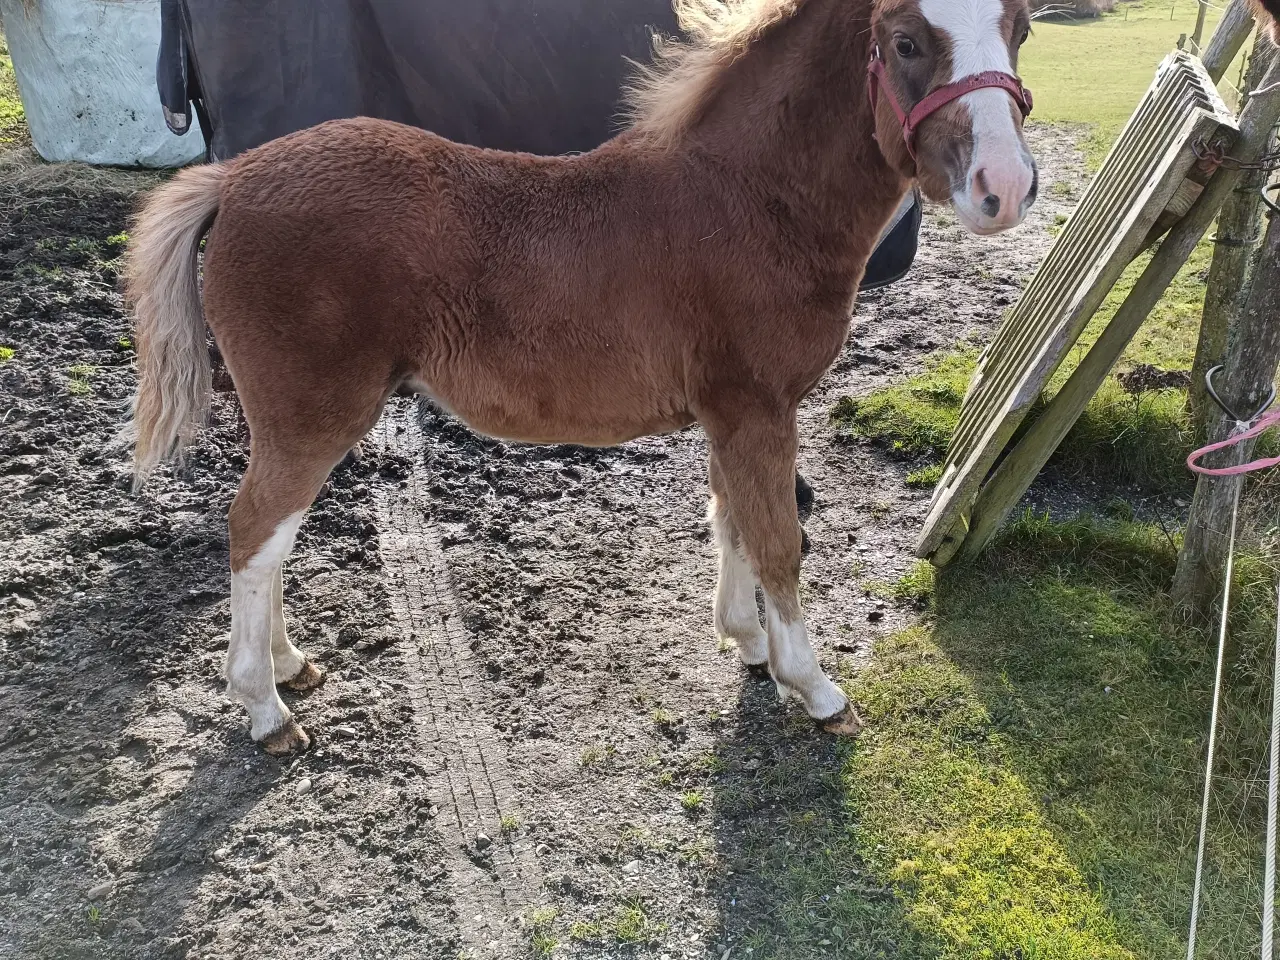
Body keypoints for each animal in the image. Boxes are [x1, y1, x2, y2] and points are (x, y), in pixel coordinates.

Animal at [122, 0, 1039, 757]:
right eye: (907, 41)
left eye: (1021, 26)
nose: (1006, 187)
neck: (750, 200)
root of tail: (234, 177)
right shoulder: (758, 409)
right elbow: (778, 539)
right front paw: (814, 688)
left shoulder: (729, 414)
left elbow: (732, 520)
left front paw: (746, 644)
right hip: (312, 414)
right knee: (255, 529)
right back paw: (266, 709)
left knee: (271, 536)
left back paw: (289, 666)